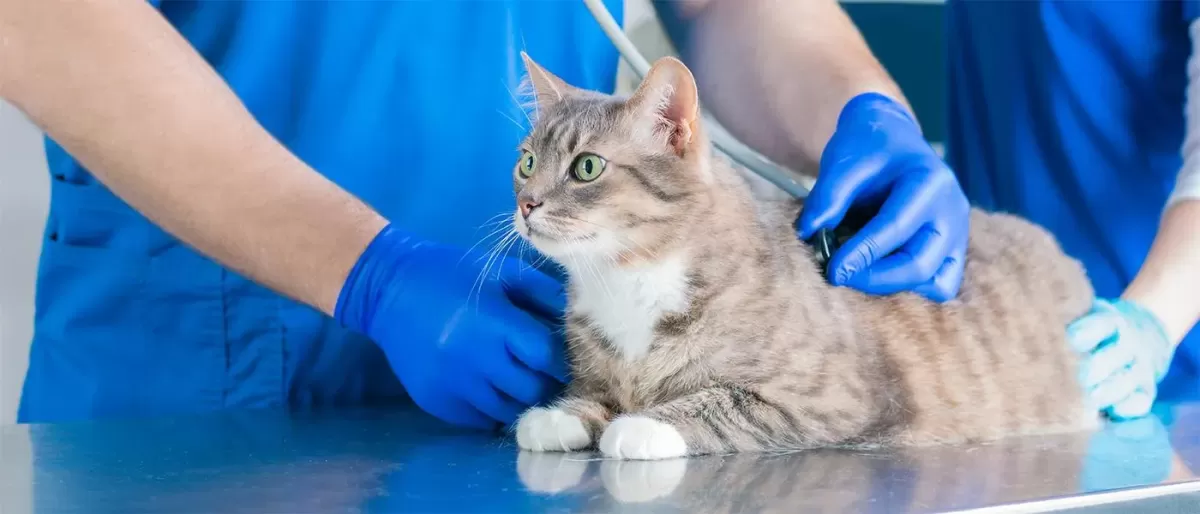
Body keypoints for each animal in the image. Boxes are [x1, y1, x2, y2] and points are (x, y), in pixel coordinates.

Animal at [506, 53, 1099, 461]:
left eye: (587, 167)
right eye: (527, 162)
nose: (526, 204)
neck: (627, 282)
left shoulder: (832, 399)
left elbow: (720, 404)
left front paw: (643, 424)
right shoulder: (599, 374)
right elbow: (591, 395)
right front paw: (559, 416)